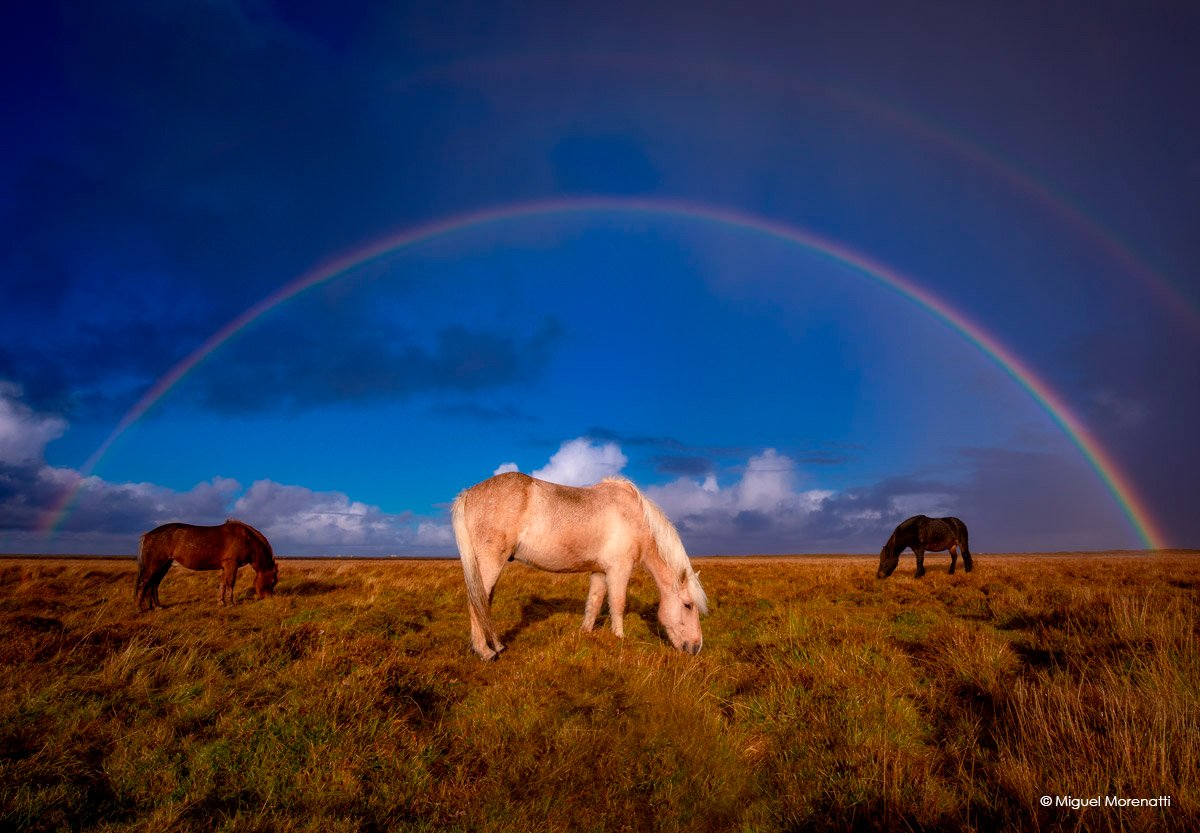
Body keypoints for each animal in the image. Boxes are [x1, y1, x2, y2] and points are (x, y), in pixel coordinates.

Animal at [134, 519, 279, 610]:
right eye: (272, 581)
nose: (269, 598)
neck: (246, 539)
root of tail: (148, 535)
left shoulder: (224, 567)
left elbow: (223, 584)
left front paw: (221, 602)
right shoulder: (231, 564)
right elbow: (230, 583)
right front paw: (231, 603)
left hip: (164, 566)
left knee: (153, 584)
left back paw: (157, 606)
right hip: (155, 565)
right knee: (145, 583)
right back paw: (139, 607)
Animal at [451, 472, 708, 660]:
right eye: (688, 605)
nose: (696, 648)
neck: (635, 517)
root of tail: (468, 494)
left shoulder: (600, 571)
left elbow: (593, 604)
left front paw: (586, 634)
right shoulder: (619, 570)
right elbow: (617, 604)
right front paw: (619, 639)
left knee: (483, 602)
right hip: (490, 563)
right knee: (476, 602)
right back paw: (485, 652)